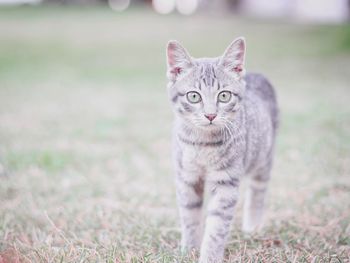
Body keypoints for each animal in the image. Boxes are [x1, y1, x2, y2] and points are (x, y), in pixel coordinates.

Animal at [166, 37, 278, 263]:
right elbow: (190, 216)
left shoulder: (226, 183)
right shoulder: (187, 178)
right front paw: (188, 250)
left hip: (264, 160)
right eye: (194, 97)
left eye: (224, 96)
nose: (210, 115)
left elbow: (217, 227)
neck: (202, 144)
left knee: (258, 192)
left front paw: (209, 256)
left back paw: (252, 228)